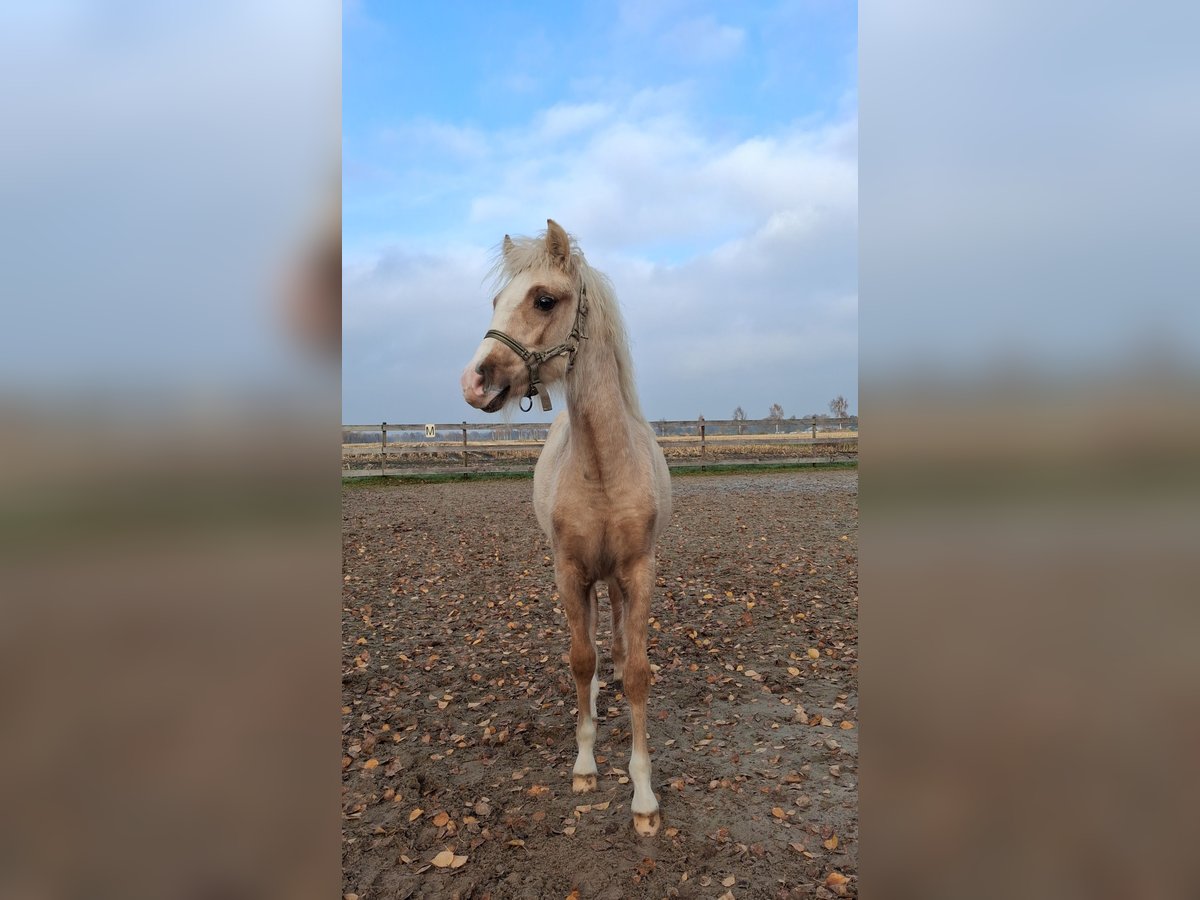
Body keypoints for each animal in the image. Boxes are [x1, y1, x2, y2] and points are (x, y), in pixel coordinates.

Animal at [460, 219, 672, 837]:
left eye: (544, 299)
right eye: (495, 301)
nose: (473, 382)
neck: (601, 466)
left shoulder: (638, 572)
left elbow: (638, 673)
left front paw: (644, 799)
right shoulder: (570, 572)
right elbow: (580, 662)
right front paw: (585, 765)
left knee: (618, 644)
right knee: (595, 653)